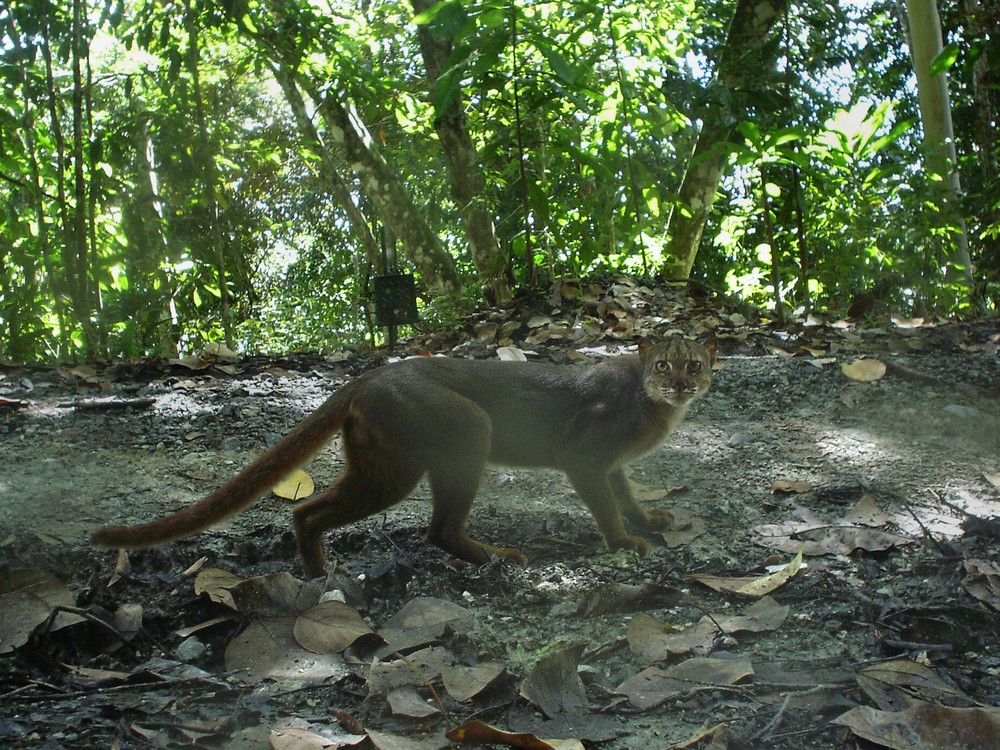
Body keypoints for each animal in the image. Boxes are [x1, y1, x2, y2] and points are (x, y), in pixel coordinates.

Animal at [94, 338, 716, 580]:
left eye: (696, 364)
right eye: (663, 364)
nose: (682, 384)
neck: (654, 409)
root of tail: (366, 377)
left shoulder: (613, 464)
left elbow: (627, 494)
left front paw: (649, 520)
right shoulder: (584, 459)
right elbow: (606, 505)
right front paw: (625, 543)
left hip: (384, 461)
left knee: (307, 510)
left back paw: (319, 575)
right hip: (462, 435)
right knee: (436, 528)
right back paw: (495, 557)